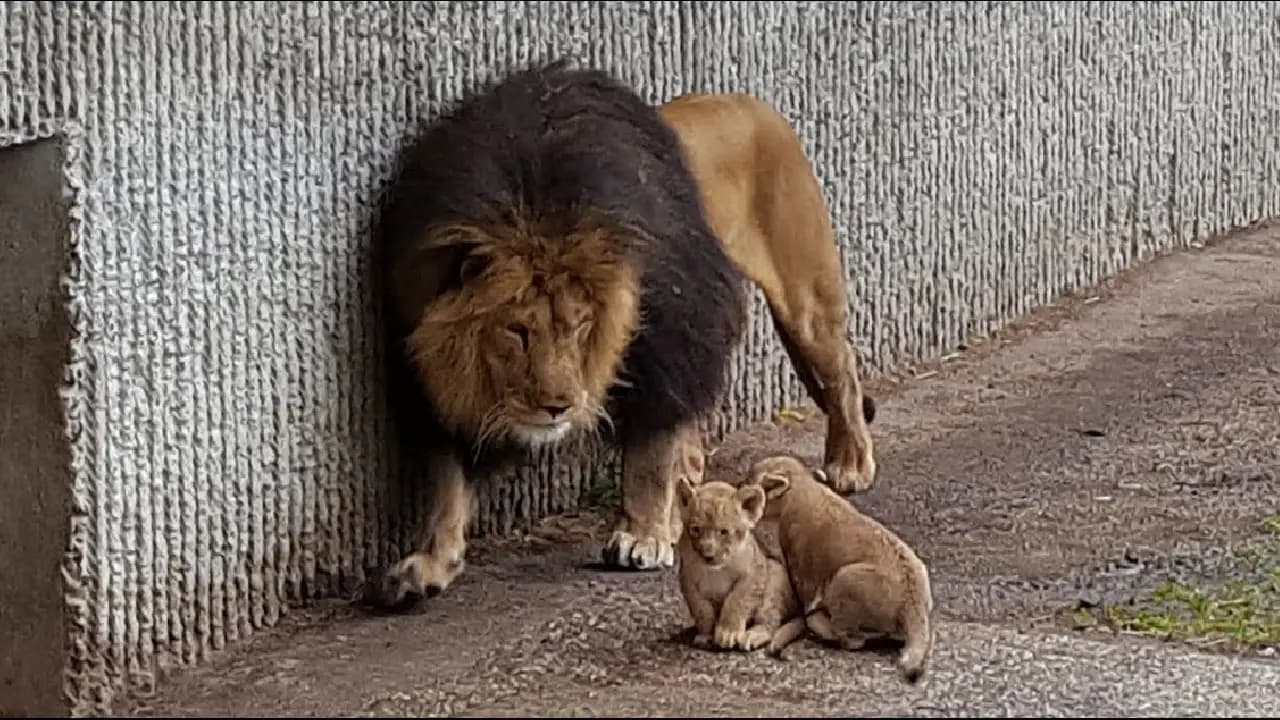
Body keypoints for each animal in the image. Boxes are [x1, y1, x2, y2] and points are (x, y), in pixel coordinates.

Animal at [366, 58, 875, 604]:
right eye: (517, 331)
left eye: (580, 326)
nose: (558, 407)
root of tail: (749, 100)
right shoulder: (431, 373)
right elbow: (448, 481)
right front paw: (431, 561)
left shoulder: (665, 344)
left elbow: (649, 458)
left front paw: (642, 537)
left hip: (805, 297)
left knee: (841, 372)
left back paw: (849, 463)